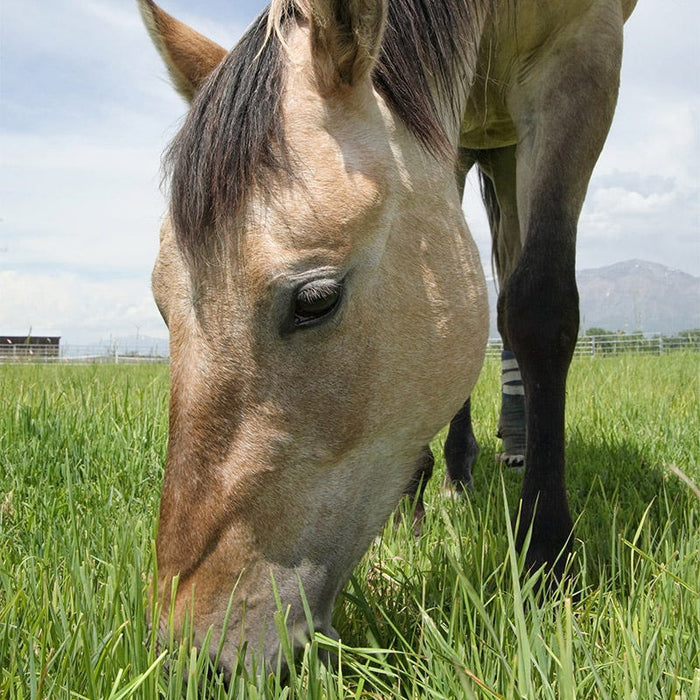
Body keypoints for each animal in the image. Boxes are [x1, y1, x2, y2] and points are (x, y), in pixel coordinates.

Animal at [139, 0, 637, 675]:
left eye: (316, 301)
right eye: (162, 305)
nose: (189, 654)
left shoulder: (584, 53)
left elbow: (538, 306)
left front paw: (546, 559)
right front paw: (416, 504)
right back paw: (454, 472)